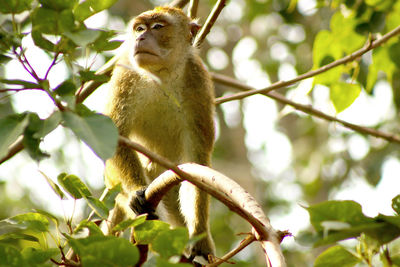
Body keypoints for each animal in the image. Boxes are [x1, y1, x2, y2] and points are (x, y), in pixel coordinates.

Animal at [103, 5, 216, 262]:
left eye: (157, 27)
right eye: (139, 29)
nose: (140, 38)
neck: (162, 74)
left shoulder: (197, 81)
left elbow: (196, 159)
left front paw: (200, 235)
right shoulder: (126, 74)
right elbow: (116, 138)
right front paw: (136, 192)